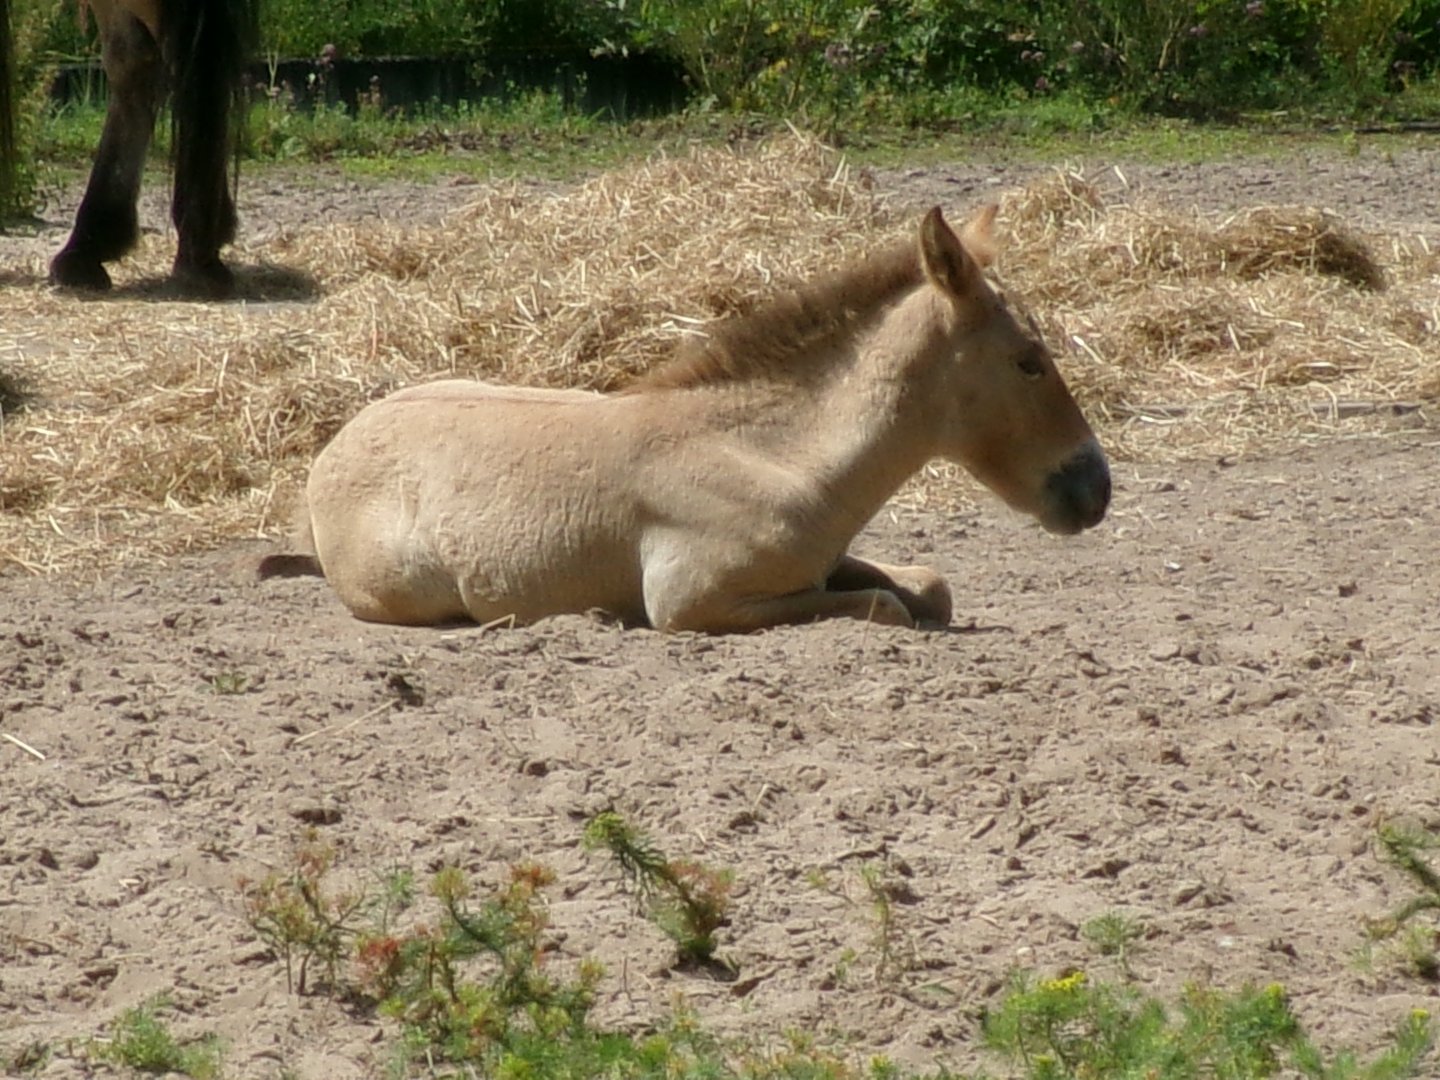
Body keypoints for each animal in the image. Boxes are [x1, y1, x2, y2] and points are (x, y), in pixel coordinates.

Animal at [259, 204, 1111, 634]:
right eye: (1029, 360)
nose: (1095, 489)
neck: (773, 456)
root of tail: (329, 457)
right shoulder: (690, 602)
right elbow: (884, 607)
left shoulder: (823, 560)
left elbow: (927, 587)